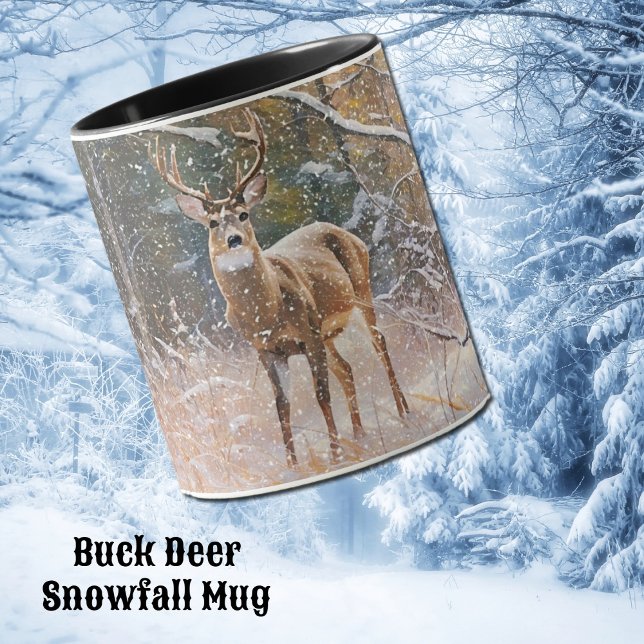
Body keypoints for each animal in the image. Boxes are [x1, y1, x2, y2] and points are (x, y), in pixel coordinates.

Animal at [150, 108, 409, 467]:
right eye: (213, 223)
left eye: (244, 214)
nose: (234, 239)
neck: (266, 314)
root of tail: (347, 233)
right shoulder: (266, 350)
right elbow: (282, 404)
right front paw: (292, 464)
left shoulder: (308, 331)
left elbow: (320, 393)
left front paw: (335, 453)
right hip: (329, 332)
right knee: (346, 368)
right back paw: (360, 434)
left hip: (360, 289)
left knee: (379, 344)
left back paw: (403, 411)